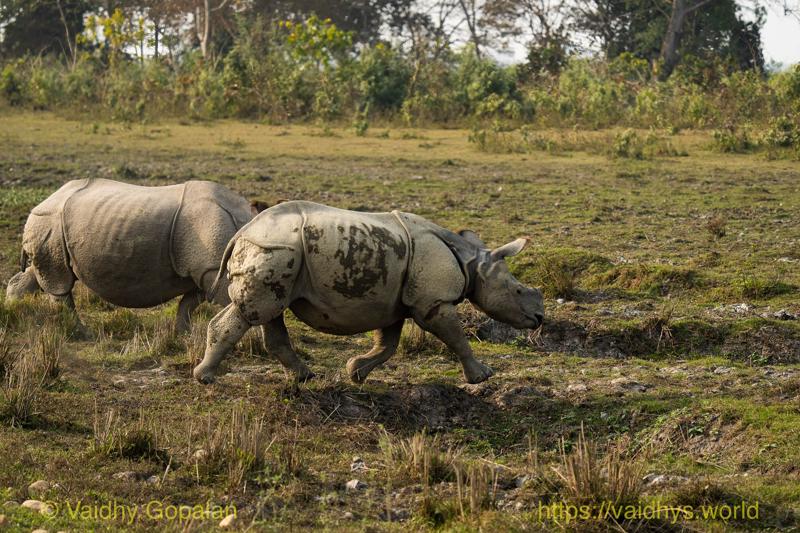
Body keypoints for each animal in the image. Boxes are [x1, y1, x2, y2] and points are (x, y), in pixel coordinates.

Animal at [5, 178, 255, 332]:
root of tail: (45, 200)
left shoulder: (205, 270)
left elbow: (188, 303)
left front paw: (183, 335)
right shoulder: (212, 267)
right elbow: (236, 304)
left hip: (51, 226)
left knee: (43, 274)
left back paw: (12, 315)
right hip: (50, 222)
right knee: (59, 281)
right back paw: (81, 334)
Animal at [193, 200, 544, 385]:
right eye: (517, 290)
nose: (539, 317)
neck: (473, 263)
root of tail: (243, 231)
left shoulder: (396, 302)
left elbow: (387, 344)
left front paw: (356, 372)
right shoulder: (434, 302)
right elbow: (456, 338)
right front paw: (482, 377)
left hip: (279, 256)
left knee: (269, 310)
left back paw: (306, 376)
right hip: (275, 249)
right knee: (253, 311)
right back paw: (205, 378)